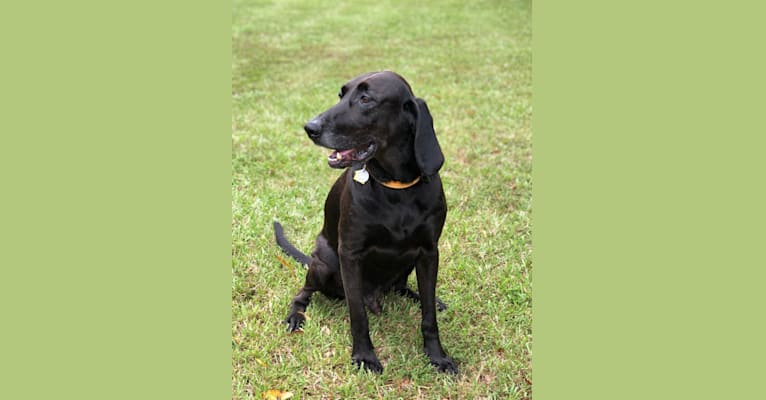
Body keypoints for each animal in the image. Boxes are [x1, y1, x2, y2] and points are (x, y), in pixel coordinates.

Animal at [274, 70, 456, 374]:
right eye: (341, 94)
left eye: (366, 99)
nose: (310, 127)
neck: (396, 189)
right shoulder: (350, 254)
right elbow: (358, 314)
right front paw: (364, 356)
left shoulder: (430, 252)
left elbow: (429, 315)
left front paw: (437, 356)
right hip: (323, 264)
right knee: (303, 294)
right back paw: (296, 316)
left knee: (403, 288)